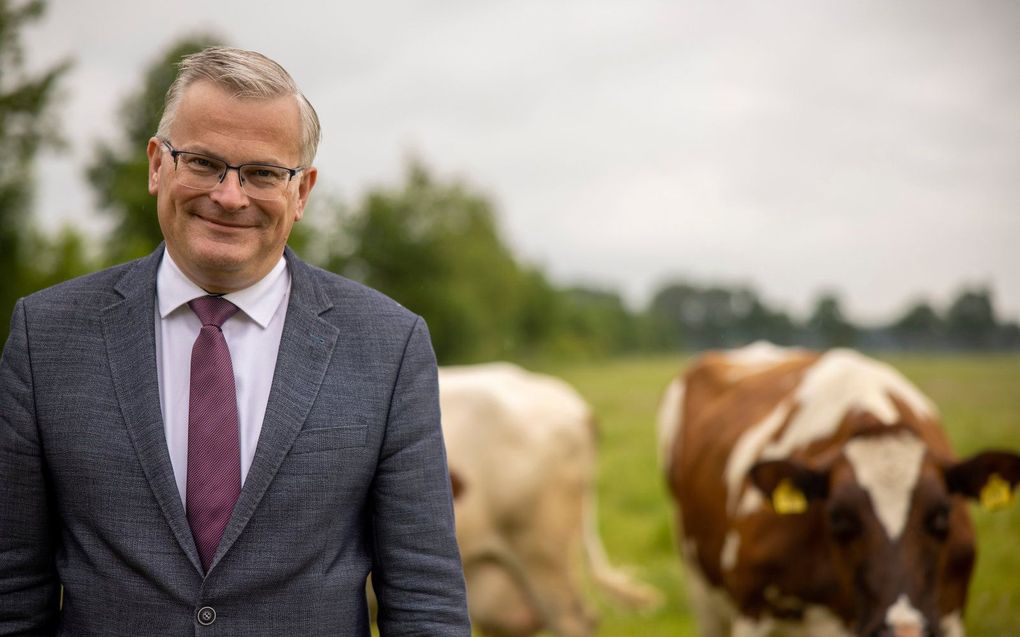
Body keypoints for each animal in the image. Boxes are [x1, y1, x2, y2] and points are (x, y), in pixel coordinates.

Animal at [656, 342, 1020, 635]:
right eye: (839, 518)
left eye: (942, 516)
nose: (901, 629)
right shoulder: (752, 611)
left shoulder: (950, 613)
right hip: (703, 592)